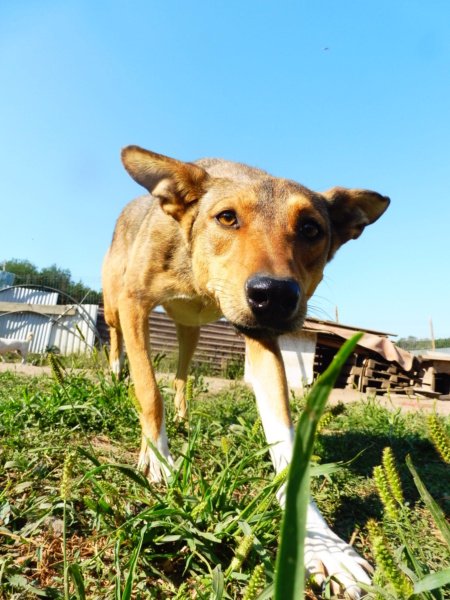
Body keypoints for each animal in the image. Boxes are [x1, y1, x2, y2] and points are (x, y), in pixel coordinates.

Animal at [103, 146, 390, 596]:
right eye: (226, 218)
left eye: (310, 228)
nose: (274, 295)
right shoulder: (135, 303)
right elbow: (149, 391)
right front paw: (159, 460)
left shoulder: (262, 336)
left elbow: (286, 445)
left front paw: (322, 545)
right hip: (115, 303)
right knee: (117, 340)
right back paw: (115, 374)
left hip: (190, 330)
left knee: (182, 373)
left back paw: (183, 415)